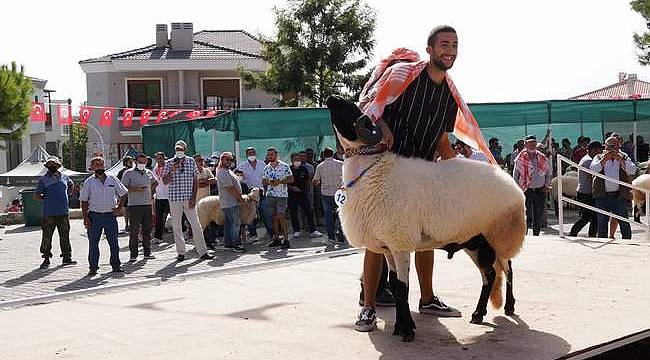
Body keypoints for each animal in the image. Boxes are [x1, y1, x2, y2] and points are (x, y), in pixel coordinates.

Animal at [326, 96, 524, 344]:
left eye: (351, 110)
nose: (331, 99)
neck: (372, 172)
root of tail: (510, 180)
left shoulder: (400, 243)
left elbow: (402, 287)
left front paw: (407, 330)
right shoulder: (388, 246)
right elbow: (395, 285)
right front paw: (401, 326)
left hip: (499, 235)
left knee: (507, 269)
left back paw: (509, 306)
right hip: (475, 241)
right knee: (490, 274)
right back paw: (478, 314)